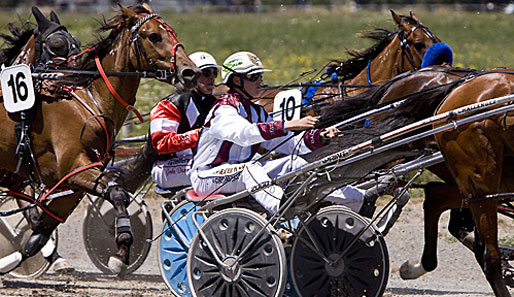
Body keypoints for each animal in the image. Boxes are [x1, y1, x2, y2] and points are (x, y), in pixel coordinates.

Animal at [0, 4, 199, 276]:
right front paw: (121, 250)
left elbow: (40, 231)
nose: (189, 72)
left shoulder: (72, 179)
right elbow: (117, 194)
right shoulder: (74, 168)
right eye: (154, 36)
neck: (88, 99)